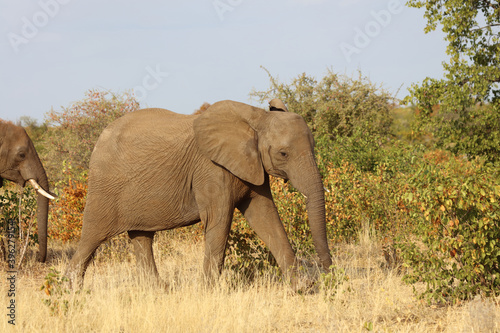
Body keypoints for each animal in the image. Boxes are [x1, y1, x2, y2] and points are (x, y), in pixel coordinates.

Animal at [66, 98, 332, 288]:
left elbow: (266, 217)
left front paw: (302, 288)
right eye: (283, 154)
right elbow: (219, 220)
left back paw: (160, 291)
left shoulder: (251, 166)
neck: (256, 116)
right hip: (104, 187)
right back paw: (71, 291)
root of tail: (99, 139)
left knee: (142, 237)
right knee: (92, 236)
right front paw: (208, 292)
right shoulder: (211, 168)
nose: (329, 273)